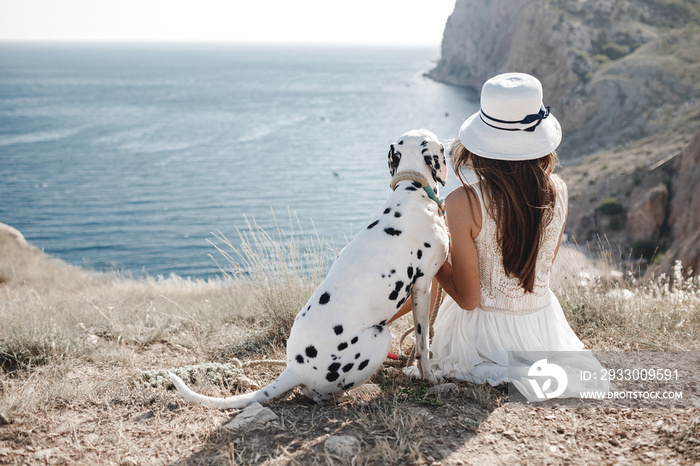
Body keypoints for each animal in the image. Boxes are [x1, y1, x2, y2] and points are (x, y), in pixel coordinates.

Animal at [172, 128, 452, 408]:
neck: (412, 192)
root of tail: (294, 369)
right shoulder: (423, 287)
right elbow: (423, 343)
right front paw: (429, 377)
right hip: (380, 335)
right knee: (321, 394)